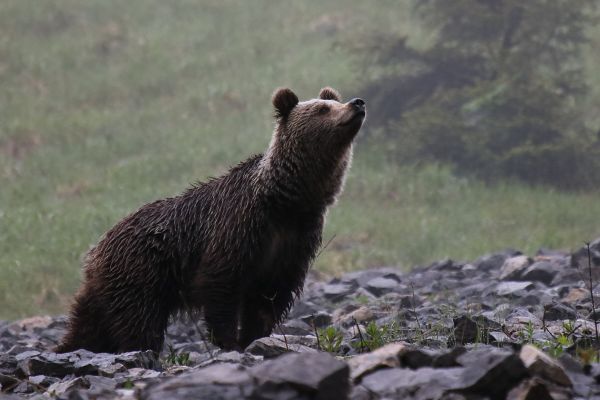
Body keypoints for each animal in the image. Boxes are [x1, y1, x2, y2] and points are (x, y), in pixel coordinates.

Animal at [57, 87, 366, 354]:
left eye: (333, 100)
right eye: (323, 108)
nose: (357, 103)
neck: (286, 201)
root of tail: (95, 251)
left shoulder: (295, 241)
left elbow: (270, 297)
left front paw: (256, 336)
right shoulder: (237, 227)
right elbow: (222, 285)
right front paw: (230, 341)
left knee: (89, 325)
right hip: (140, 273)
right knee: (138, 321)